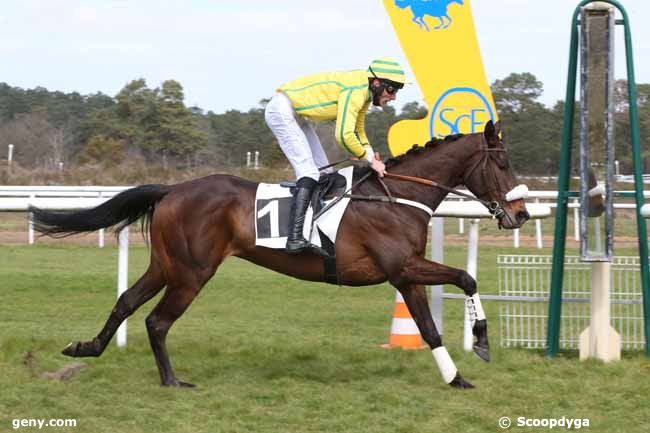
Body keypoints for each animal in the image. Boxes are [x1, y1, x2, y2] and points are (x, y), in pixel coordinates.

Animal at [29, 119, 528, 388]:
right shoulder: (403, 266)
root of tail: (173, 189)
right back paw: (172, 380)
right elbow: (465, 278)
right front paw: (481, 341)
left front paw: (456, 377)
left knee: (126, 302)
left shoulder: (405, 275)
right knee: (157, 320)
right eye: (502, 163)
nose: (521, 214)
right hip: (192, 272)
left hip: (166, 265)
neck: (396, 196)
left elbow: (429, 328)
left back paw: (86, 348)